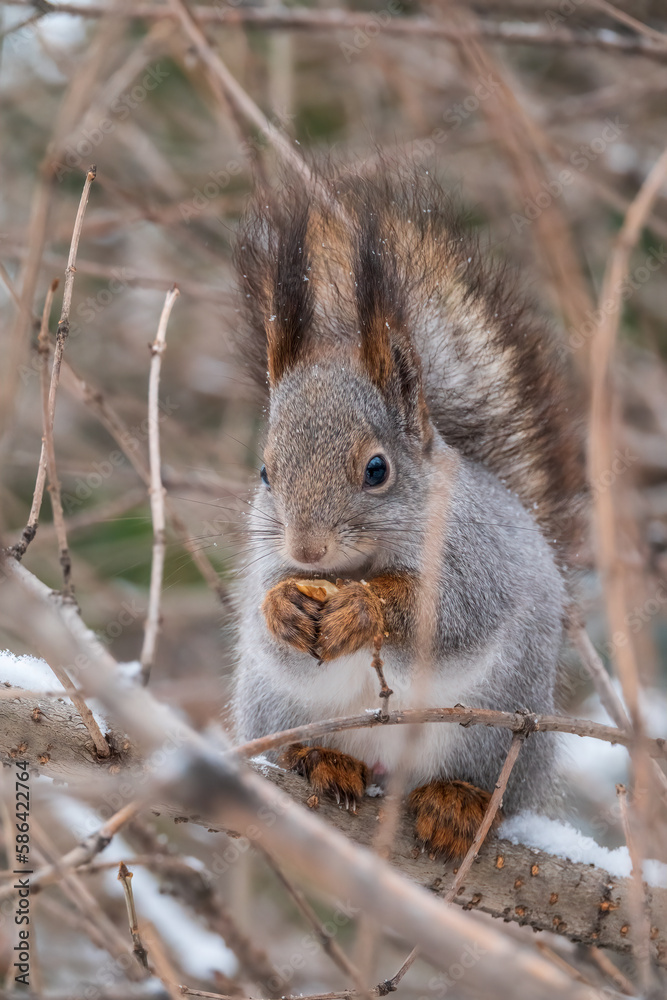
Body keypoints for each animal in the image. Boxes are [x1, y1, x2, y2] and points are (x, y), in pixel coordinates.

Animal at [232, 167, 585, 858]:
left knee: (486, 788)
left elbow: (448, 618)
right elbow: (269, 631)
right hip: (274, 706)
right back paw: (319, 760)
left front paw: (364, 609)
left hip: (499, 731)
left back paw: (457, 803)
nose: (307, 550)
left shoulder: (479, 560)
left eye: (377, 470)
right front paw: (283, 607)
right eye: (265, 472)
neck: (359, 563)